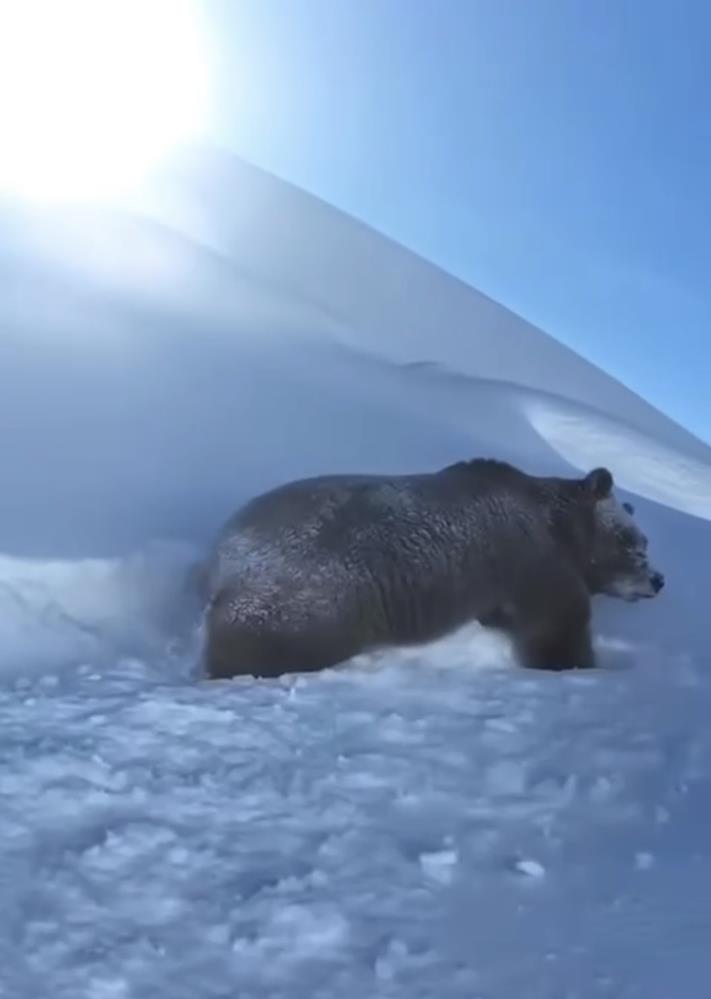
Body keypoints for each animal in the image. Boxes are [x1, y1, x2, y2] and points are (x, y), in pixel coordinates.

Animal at [197, 460, 664, 680]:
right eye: (633, 541)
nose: (658, 580)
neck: (559, 525)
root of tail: (223, 553)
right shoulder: (531, 561)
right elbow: (558, 625)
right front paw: (578, 663)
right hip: (314, 600)